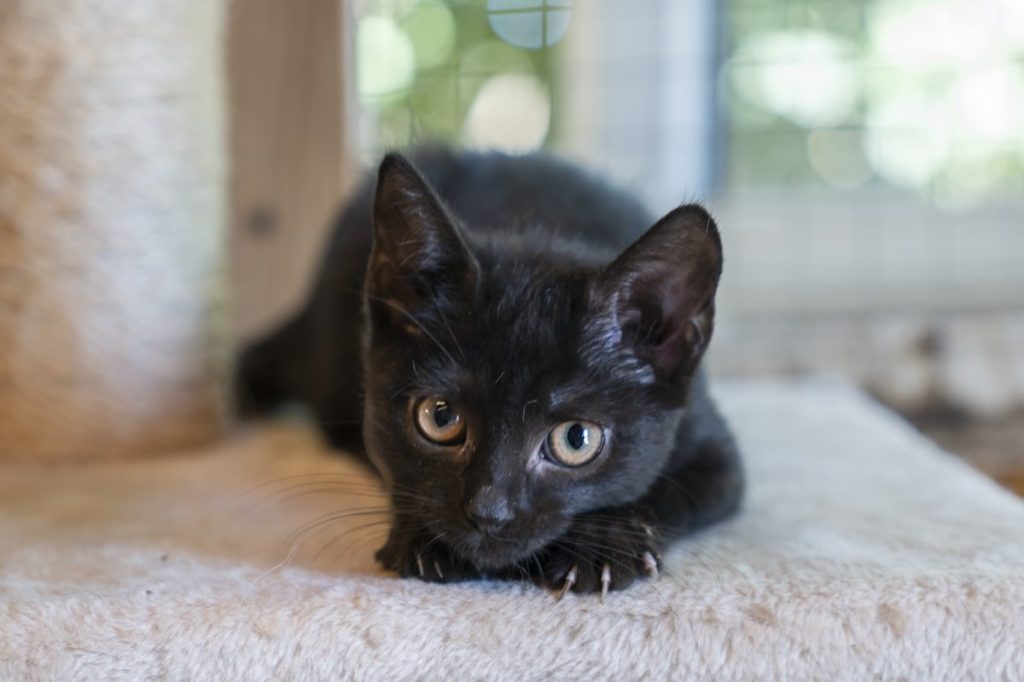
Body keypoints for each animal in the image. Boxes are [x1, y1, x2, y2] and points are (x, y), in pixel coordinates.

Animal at [239, 148, 745, 593]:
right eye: (440, 417)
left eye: (576, 438)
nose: (489, 513)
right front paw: (423, 541)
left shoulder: (715, 451)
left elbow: (668, 492)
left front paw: (601, 547)